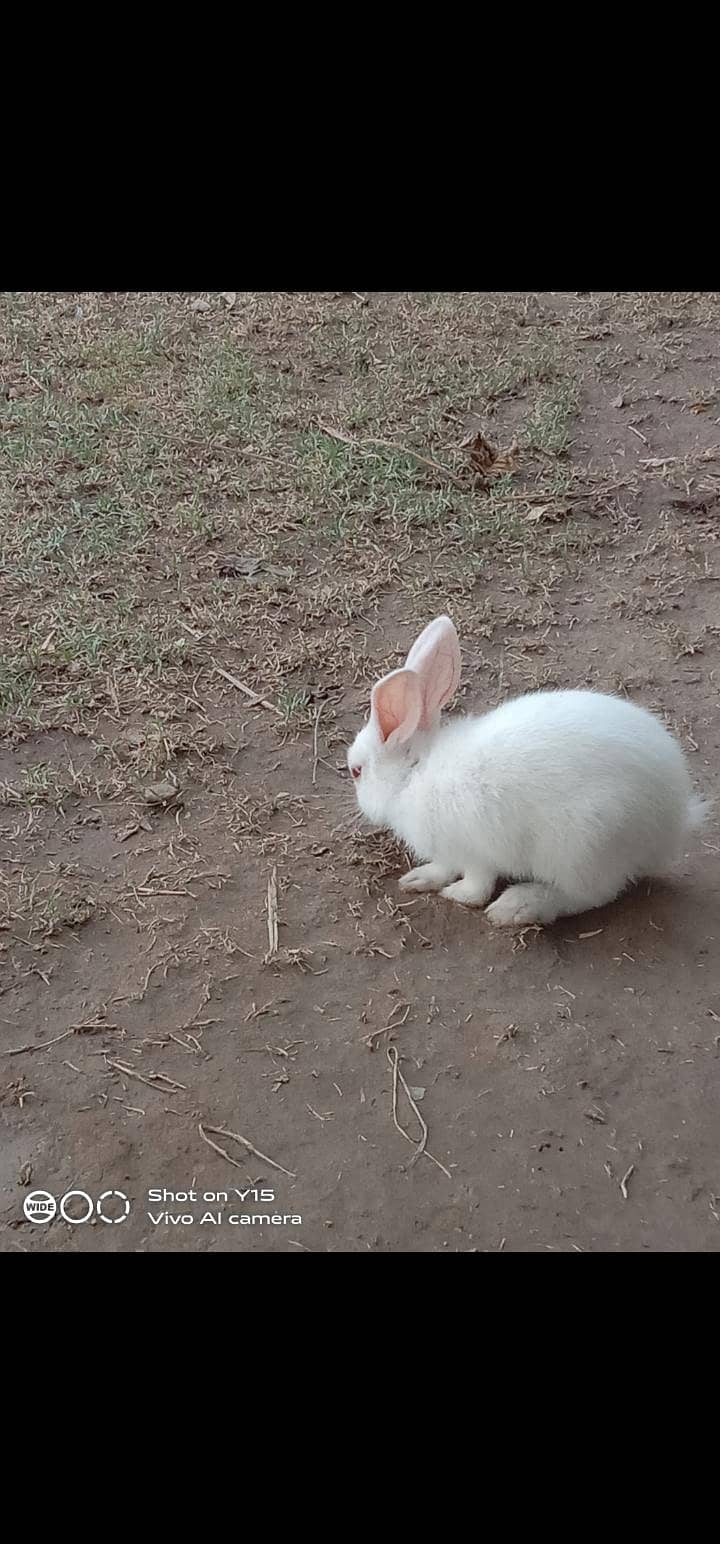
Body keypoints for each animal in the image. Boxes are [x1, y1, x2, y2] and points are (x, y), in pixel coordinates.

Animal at [347, 615, 708, 927]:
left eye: (356, 771)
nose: (358, 802)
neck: (414, 774)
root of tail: (673, 825)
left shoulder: (475, 852)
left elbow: (477, 885)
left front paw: (458, 895)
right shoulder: (449, 852)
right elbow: (443, 867)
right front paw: (419, 879)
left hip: (583, 845)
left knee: (590, 894)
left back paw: (517, 907)